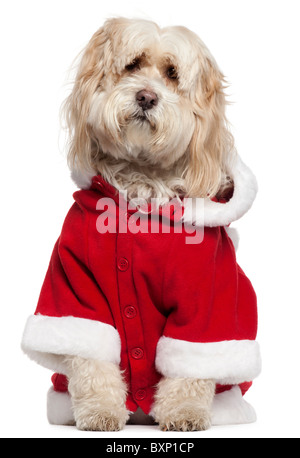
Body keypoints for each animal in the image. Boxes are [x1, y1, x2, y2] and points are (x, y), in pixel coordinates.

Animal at [21, 17, 260, 432]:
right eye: (132, 65)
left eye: (172, 74)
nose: (147, 97)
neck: (142, 184)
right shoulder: (75, 282)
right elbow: (91, 358)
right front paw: (100, 410)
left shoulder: (207, 294)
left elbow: (191, 363)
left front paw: (184, 412)